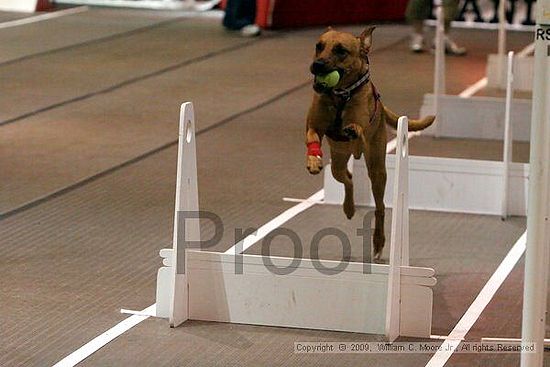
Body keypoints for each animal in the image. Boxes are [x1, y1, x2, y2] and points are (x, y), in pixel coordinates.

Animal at [306, 26, 436, 262]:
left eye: (341, 51)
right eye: (319, 46)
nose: (318, 64)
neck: (341, 96)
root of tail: (383, 108)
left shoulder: (361, 136)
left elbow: (357, 131)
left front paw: (352, 129)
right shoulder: (314, 126)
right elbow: (312, 136)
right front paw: (313, 160)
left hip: (377, 169)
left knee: (380, 207)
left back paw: (378, 242)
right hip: (338, 163)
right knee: (347, 178)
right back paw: (349, 208)